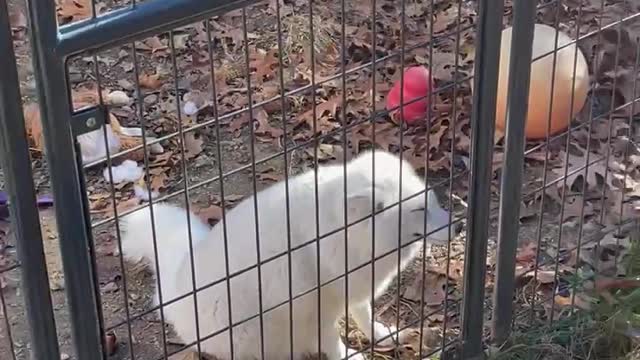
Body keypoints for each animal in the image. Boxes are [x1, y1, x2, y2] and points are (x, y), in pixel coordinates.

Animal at [119, 149, 450, 360]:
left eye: (432, 200)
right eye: (419, 211)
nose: (457, 225)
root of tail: (175, 284)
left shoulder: (352, 286)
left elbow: (364, 315)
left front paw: (382, 336)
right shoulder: (316, 309)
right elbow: (333, 341)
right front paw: (349, 355)